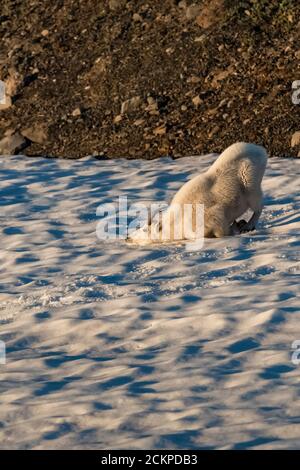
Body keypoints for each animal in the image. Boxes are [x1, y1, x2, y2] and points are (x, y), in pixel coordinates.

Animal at [128, 142, 268, 244]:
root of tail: (260, 151)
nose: (128, 237)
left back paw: (249, 225)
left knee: (256, 203)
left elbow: (219, 229)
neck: (177, 222)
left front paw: (236, 227)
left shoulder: (210, 216)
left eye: (144, 229)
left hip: (249, 179)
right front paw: (237, 223)